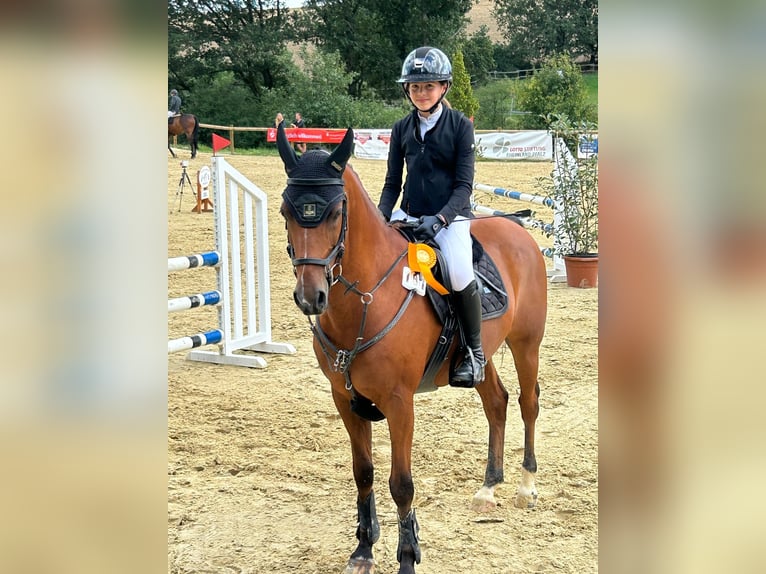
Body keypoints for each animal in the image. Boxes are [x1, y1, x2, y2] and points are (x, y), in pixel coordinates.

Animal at [276, 124, 547, 574]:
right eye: (285, 212)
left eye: (335, 213)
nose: (311, 297)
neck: (366, 300)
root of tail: (516, 229)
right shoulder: (344, 398)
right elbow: (363, 472)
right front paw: (363, 549)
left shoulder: (400, 402)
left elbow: (401, 484)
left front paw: (407, 557)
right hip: (482, 354)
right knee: (496, 401)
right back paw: (489, 488)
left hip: (526, 343)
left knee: (528, 402)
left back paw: (526, 486)